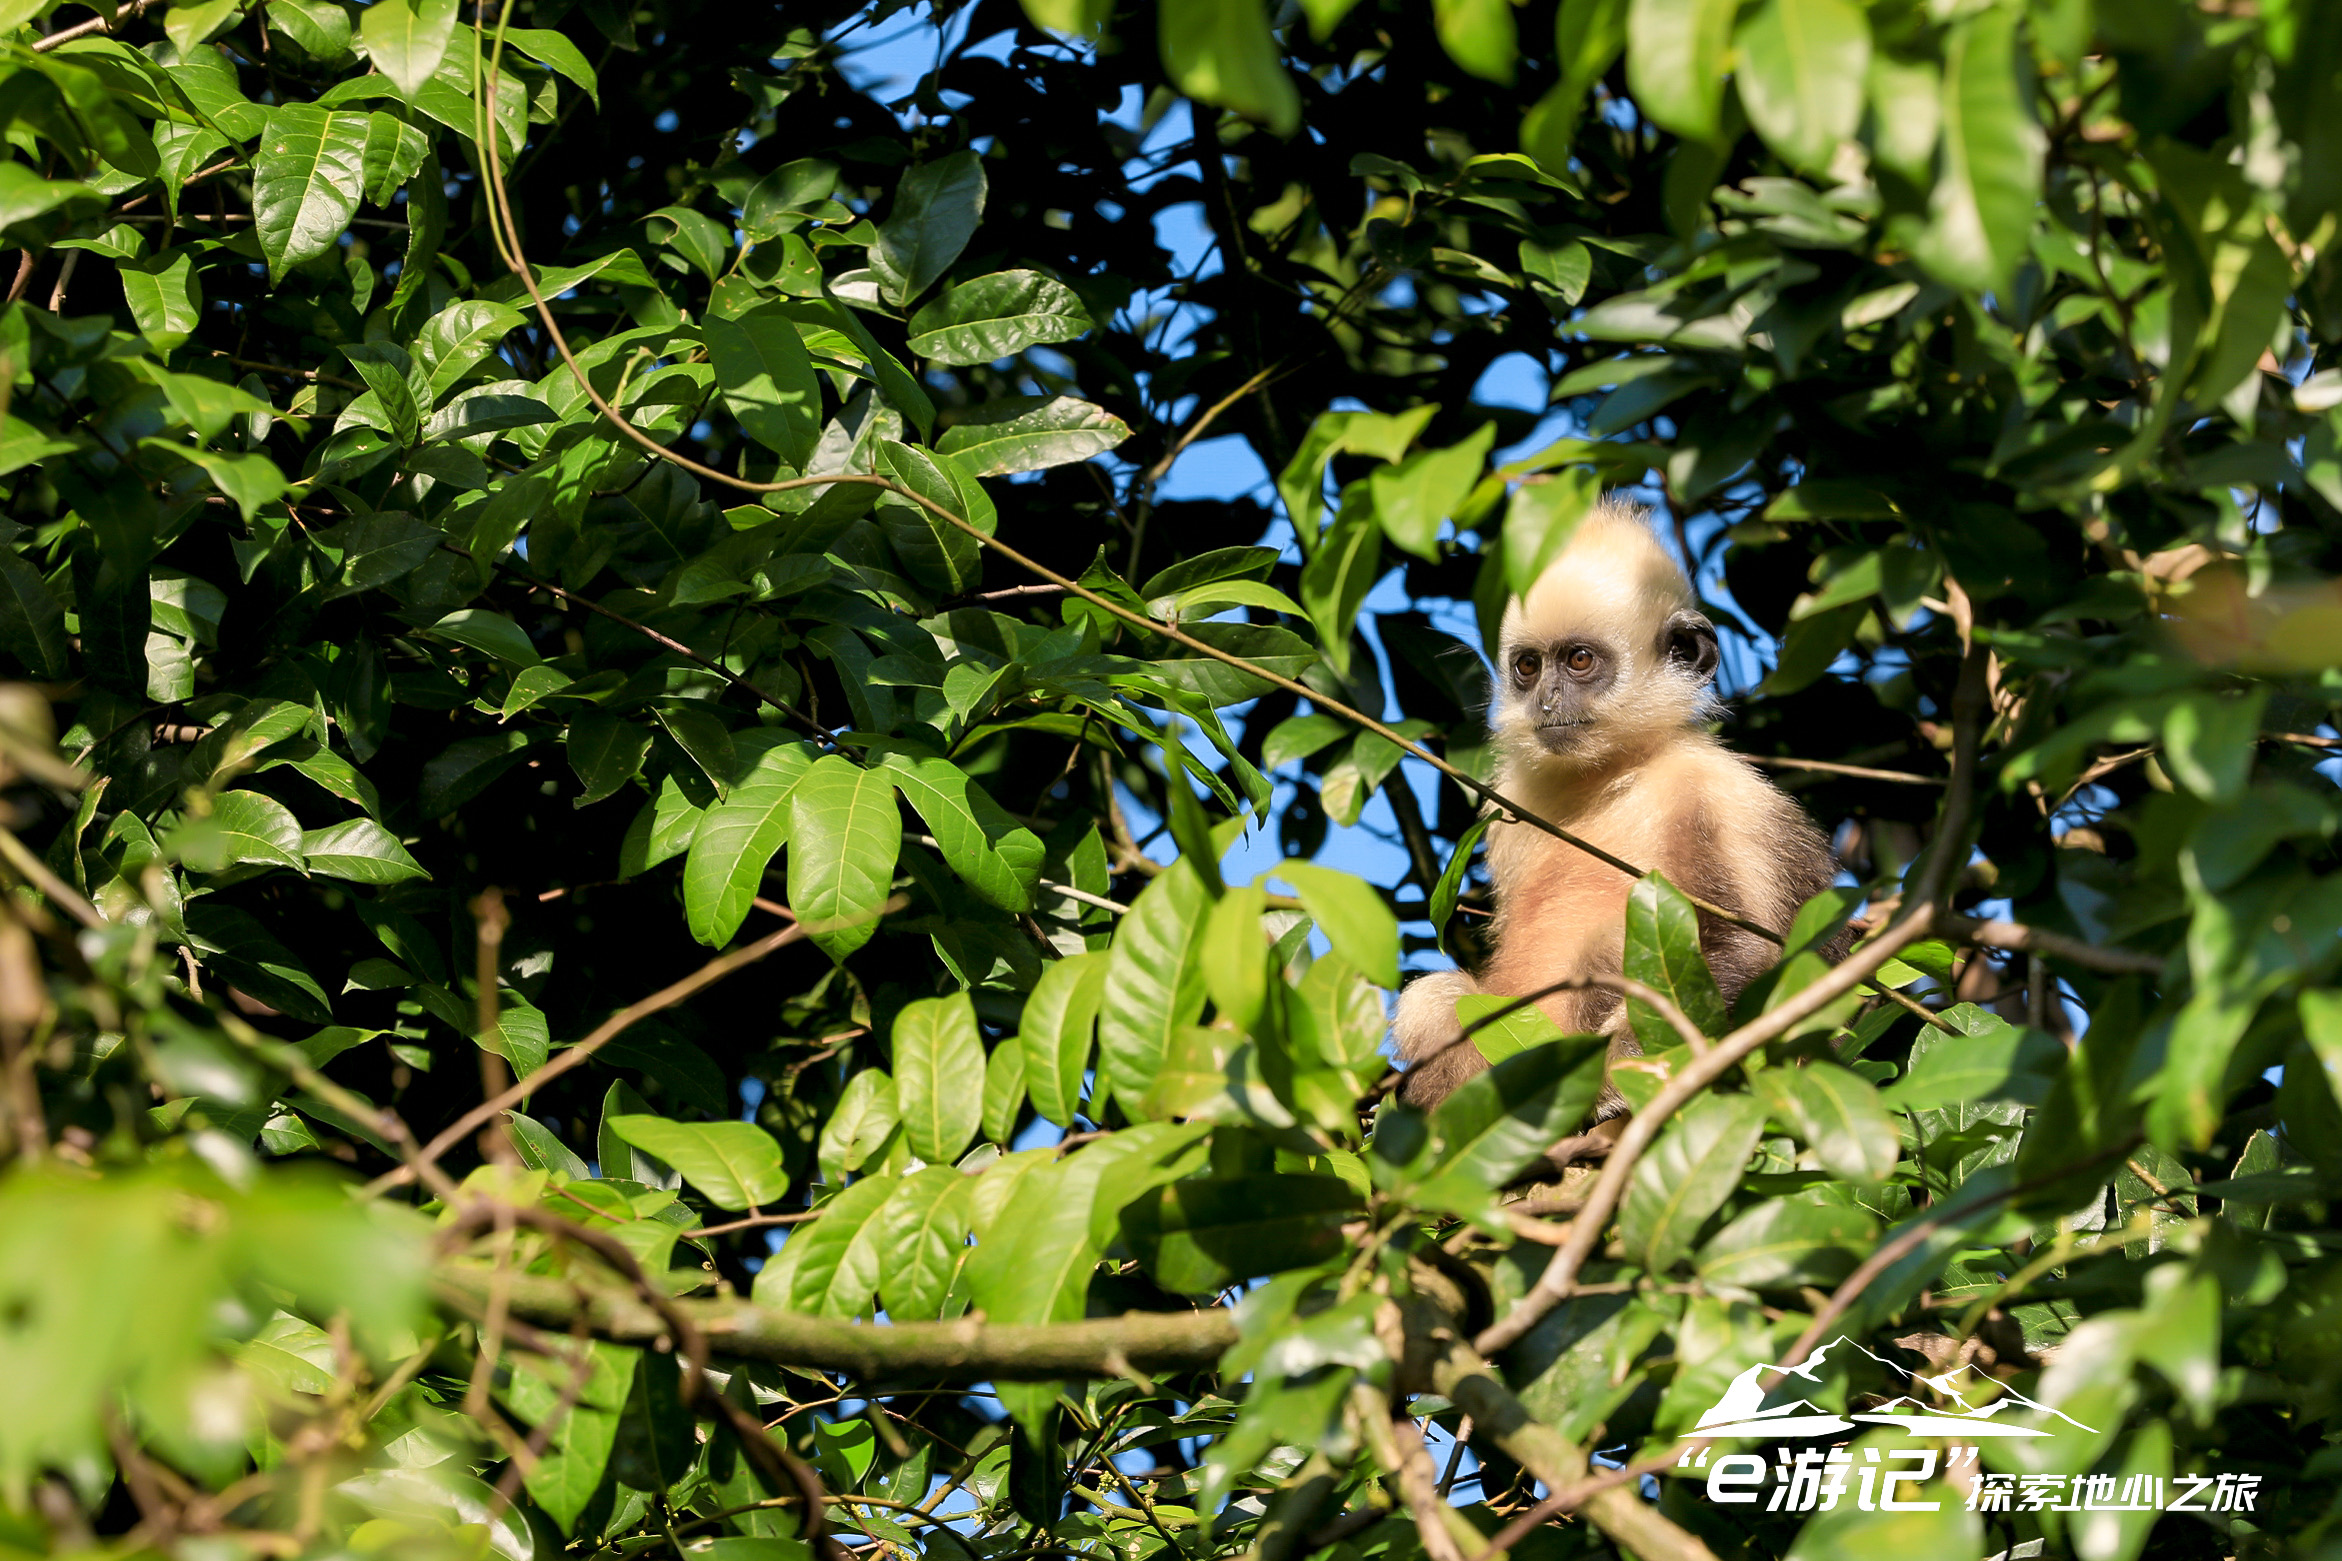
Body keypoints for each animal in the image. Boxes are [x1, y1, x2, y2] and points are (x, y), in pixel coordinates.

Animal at [1377, 493, 1836, 1118]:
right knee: (1433, 995)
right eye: (1528, 667)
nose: (1547, 702)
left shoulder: (1724, 794)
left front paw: (1612, 1087)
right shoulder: (1512, 802)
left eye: (1578, 661)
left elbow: (1754, 952)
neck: (1611, 778)